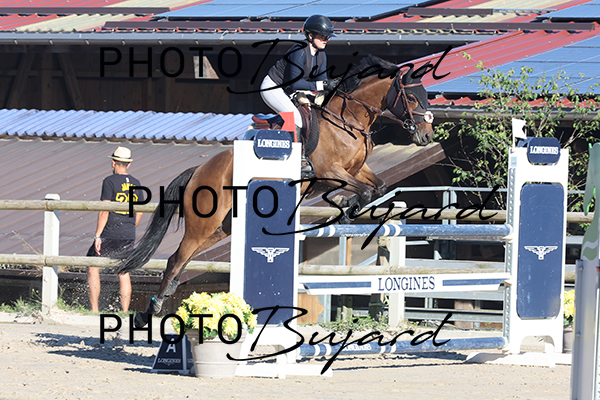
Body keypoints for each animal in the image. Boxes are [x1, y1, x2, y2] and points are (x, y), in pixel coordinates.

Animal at [118, 55, 435, 327]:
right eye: (412, 97)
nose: (426, 135)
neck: (349, 120)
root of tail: (199, 170)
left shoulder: (357, 170)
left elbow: (378, 187)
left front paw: (349, 208)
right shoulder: (331, 173)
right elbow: (366, 192)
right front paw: (347, 209)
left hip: (221, 227)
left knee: (181, 259)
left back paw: (153, 309)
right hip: (203, 223)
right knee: (176, 259)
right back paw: (150, 312)